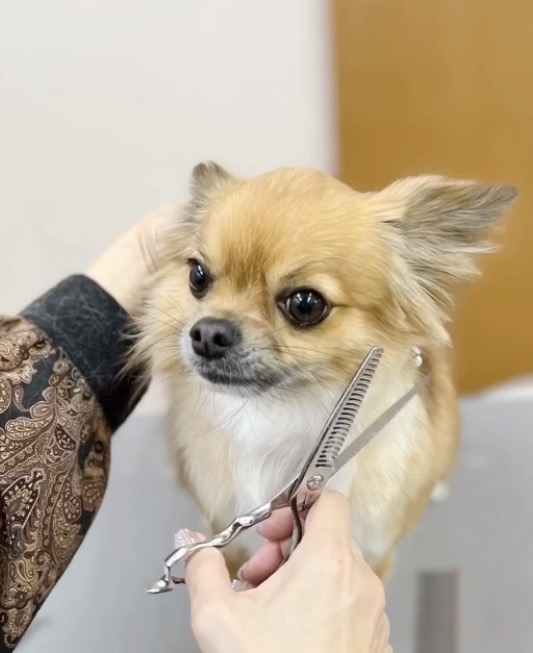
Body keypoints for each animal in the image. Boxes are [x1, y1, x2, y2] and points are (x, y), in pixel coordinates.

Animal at [133, 162, 516, 579]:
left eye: (305, 304)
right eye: (198, 277)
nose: (207, 333)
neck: (279, 414)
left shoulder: (375, 551)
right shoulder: (227, 537)